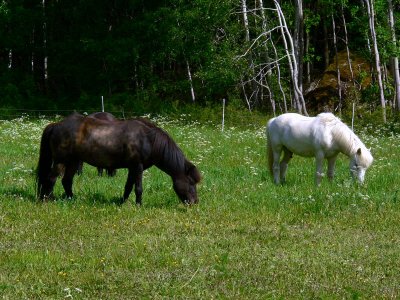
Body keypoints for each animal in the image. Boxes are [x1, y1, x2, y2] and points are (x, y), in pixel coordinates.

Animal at [36, 111, 202, 205]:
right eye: (191, 182)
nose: (194, 203)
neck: (148, 140)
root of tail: (56, 124)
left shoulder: (133, 168)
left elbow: (128, 186)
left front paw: (123, 202)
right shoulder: (137, 167)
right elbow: (138, 188)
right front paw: (139, 205)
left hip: (73, 161)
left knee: (66, 181)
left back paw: (72, 199)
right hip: (61, 161)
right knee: (51, 179)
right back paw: (47, 200)